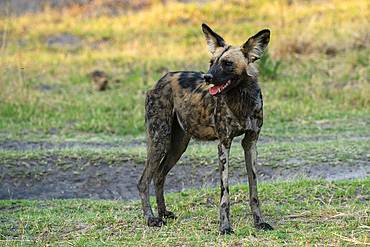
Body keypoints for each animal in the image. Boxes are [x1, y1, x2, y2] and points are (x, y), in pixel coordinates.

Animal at [137, 23, 274, 233]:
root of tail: (160, 80)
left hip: (177, 146)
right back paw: (151, 218)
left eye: (227, 63)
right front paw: (225, 226)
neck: (241, 100)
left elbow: (254, 191)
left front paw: (259, 222)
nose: (207, 77)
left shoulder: (250, 143)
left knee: (159, 176)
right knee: (143, 181)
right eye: (212, 62)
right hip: (160, 140)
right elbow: (225, 194)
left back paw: (163, 213)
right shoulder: (224, 144)